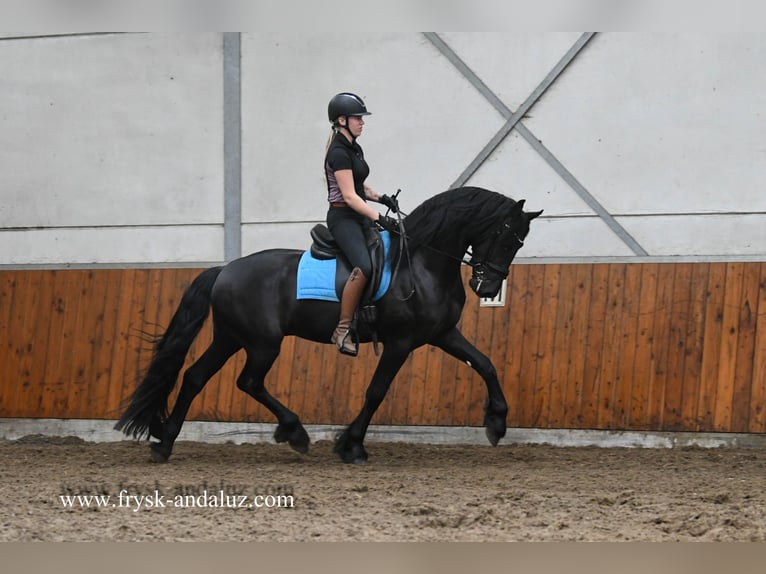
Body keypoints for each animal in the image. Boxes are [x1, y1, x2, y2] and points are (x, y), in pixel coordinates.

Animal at [117, 187, 544, 466]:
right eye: (506, 237)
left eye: (518, 243)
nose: (486, 287)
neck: (422, 263)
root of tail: (224, 270)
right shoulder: (401, 342)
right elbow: (376, 392)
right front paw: (351, 446)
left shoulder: (441, 334)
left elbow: (485, 363)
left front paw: (497, 423)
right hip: (262, 342)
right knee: (248, 381)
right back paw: (295, 432)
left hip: (231, 337)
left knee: (194, 377)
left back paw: (165, 442)